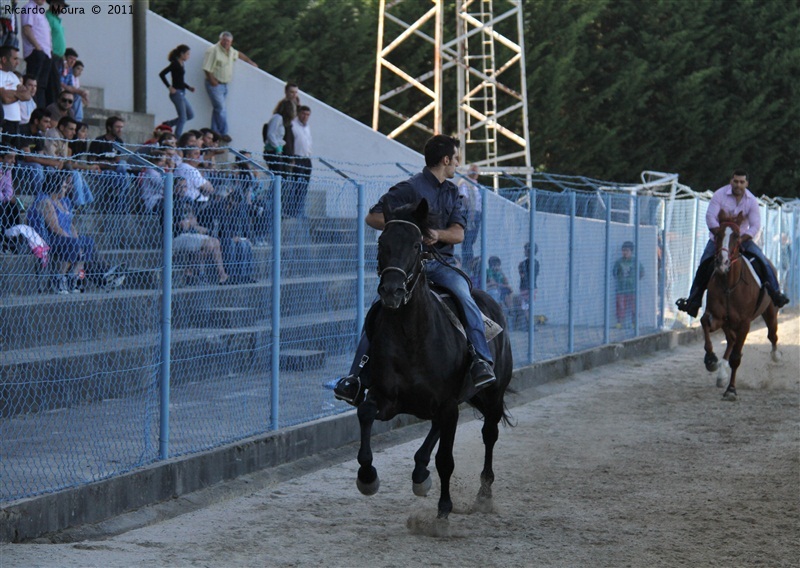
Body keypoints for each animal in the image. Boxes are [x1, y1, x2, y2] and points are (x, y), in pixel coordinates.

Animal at [704, 211, 780, 402]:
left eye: (737, 236)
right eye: (717, 234)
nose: (722, 262)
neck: (729, 285)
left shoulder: (745, 323)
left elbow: (736, 358)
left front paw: (731, 390)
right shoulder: (717, 316)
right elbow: (704, 322)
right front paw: (711, 360)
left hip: (770, 312)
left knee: (772, 334)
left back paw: (776, 355)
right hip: (727, 322)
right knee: (730, 340)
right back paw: (721, 373)